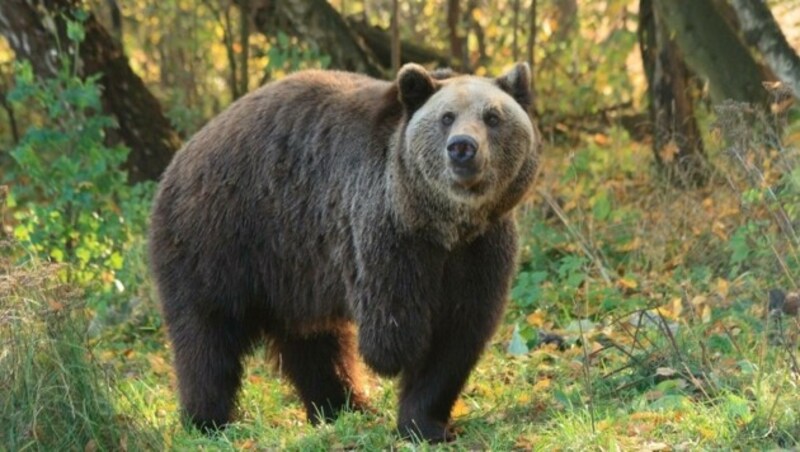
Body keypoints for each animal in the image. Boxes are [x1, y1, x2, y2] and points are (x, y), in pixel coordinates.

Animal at [148, 61, 536, 444]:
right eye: (446, 117)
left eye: (492, 116)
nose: (462, 147)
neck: (444, 226)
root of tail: (182, 156)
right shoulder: (386, 237)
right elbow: (397, 336)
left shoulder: (481, 249)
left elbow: (457, 335)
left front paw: (427, 424)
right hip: (223, 239)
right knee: (207, 336)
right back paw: (209, 420)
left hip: (292, 268)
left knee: (313, 343)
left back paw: (343, 405)